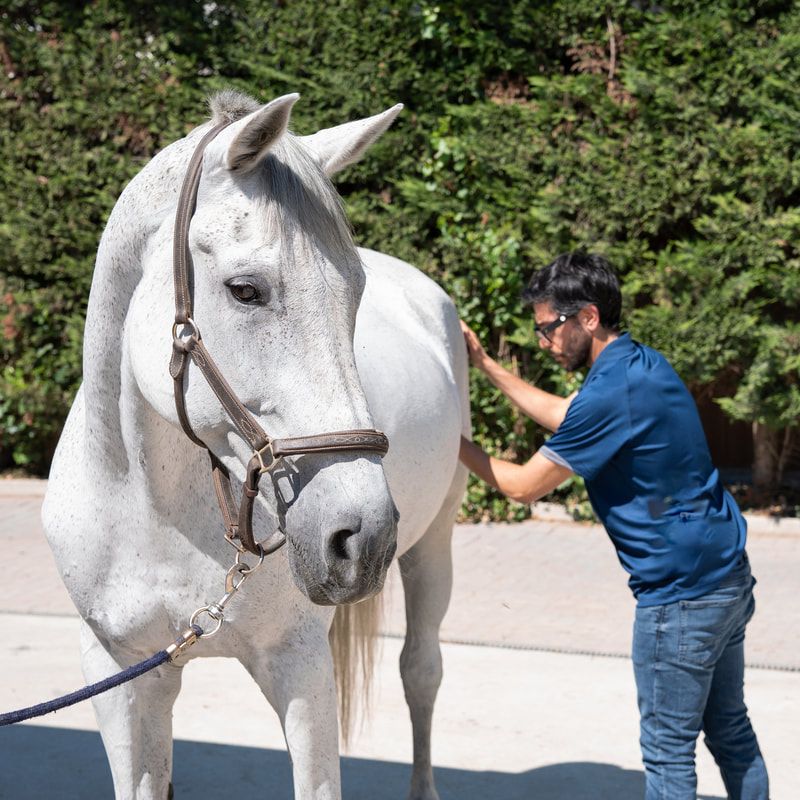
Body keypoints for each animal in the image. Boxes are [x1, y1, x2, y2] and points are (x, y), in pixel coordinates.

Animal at [41, 89, 469, 800]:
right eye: (245, 290)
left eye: (356, 294)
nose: (360, 537)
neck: (157, 513)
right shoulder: (121, 674)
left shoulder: (299, 666)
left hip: (434, 543)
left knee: (422, 672)